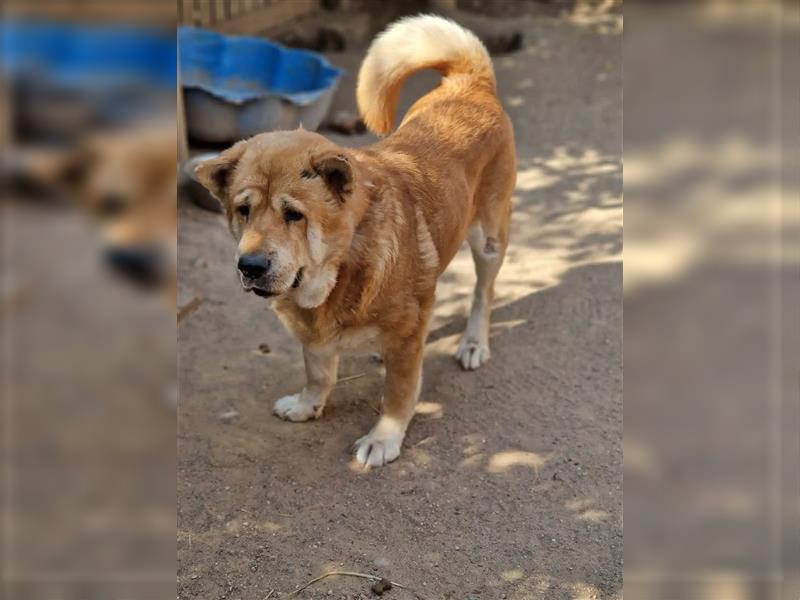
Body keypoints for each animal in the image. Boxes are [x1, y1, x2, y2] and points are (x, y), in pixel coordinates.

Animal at [197, 12, 516, 464]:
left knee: (482, 294)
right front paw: (308, 404)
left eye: (293, 215)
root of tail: (470, 82)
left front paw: (384, 438)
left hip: (489, 238)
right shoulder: (313, 333)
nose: (250, 266)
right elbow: (318, 371)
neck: (342, 266)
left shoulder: (403, 338)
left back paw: (473, 343)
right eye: (244, 210)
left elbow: (398, 393)